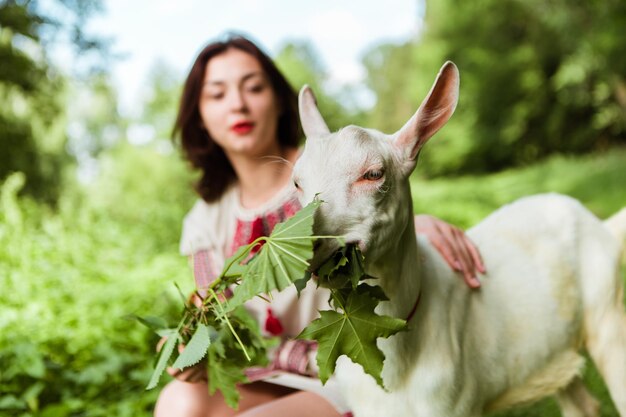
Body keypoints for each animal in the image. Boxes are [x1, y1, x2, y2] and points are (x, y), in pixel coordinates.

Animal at [292, 62, 624, 416]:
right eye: (296, 182)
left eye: (374, 174)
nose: (302, 243)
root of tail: (602, 224)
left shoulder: (454, 404)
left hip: (608, 316)